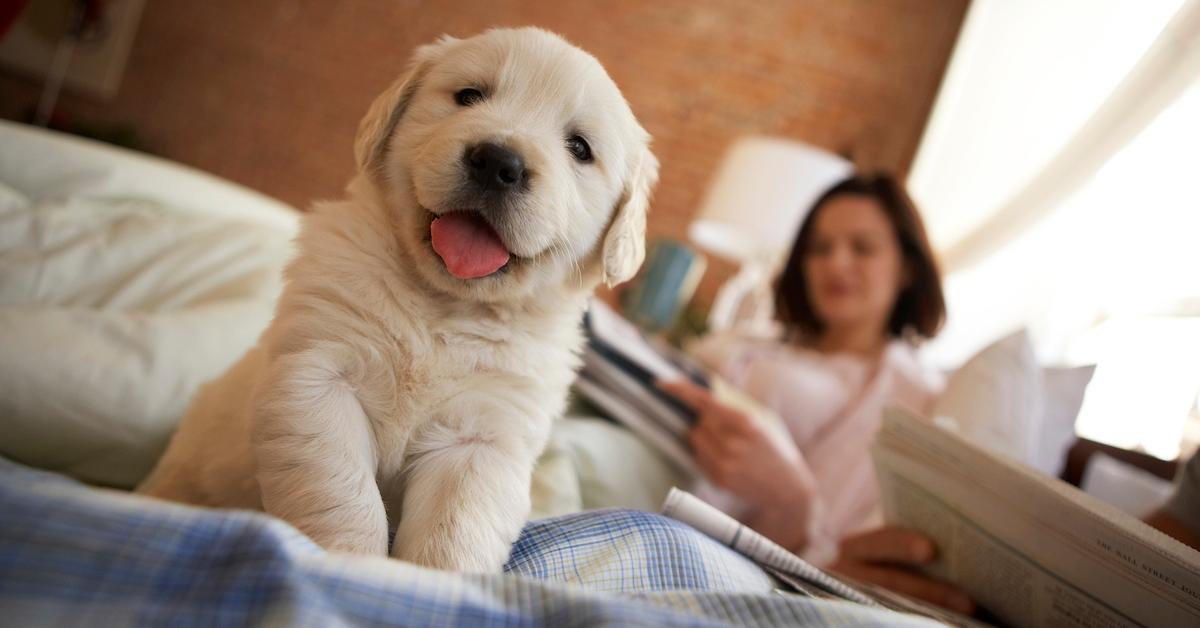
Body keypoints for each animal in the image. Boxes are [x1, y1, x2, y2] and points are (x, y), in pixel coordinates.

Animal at [144, 27, 662, 571]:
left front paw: (427, 580)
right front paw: (349, 565)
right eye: (468, 96)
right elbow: (343, 496)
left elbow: (453, 534)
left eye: (579, 148)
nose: (499, 162)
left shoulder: (482, 437)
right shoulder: (320, 378)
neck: (442, 305)